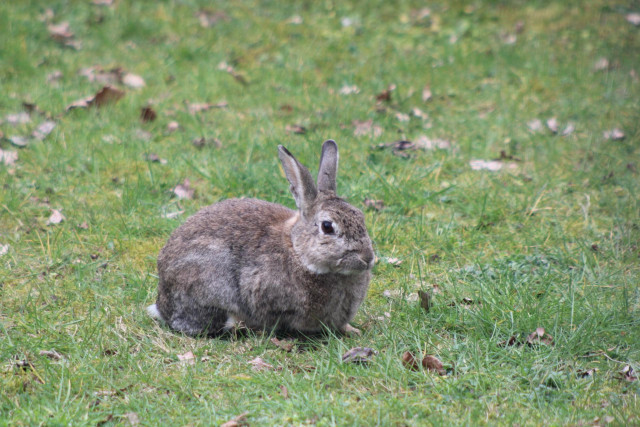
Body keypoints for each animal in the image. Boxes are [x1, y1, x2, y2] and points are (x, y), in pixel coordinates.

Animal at [147, 139, 375, 337]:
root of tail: (162, 303)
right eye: (327, 226)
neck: (298, 252)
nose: (368, 258)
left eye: (361, 217)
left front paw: (353, 330)